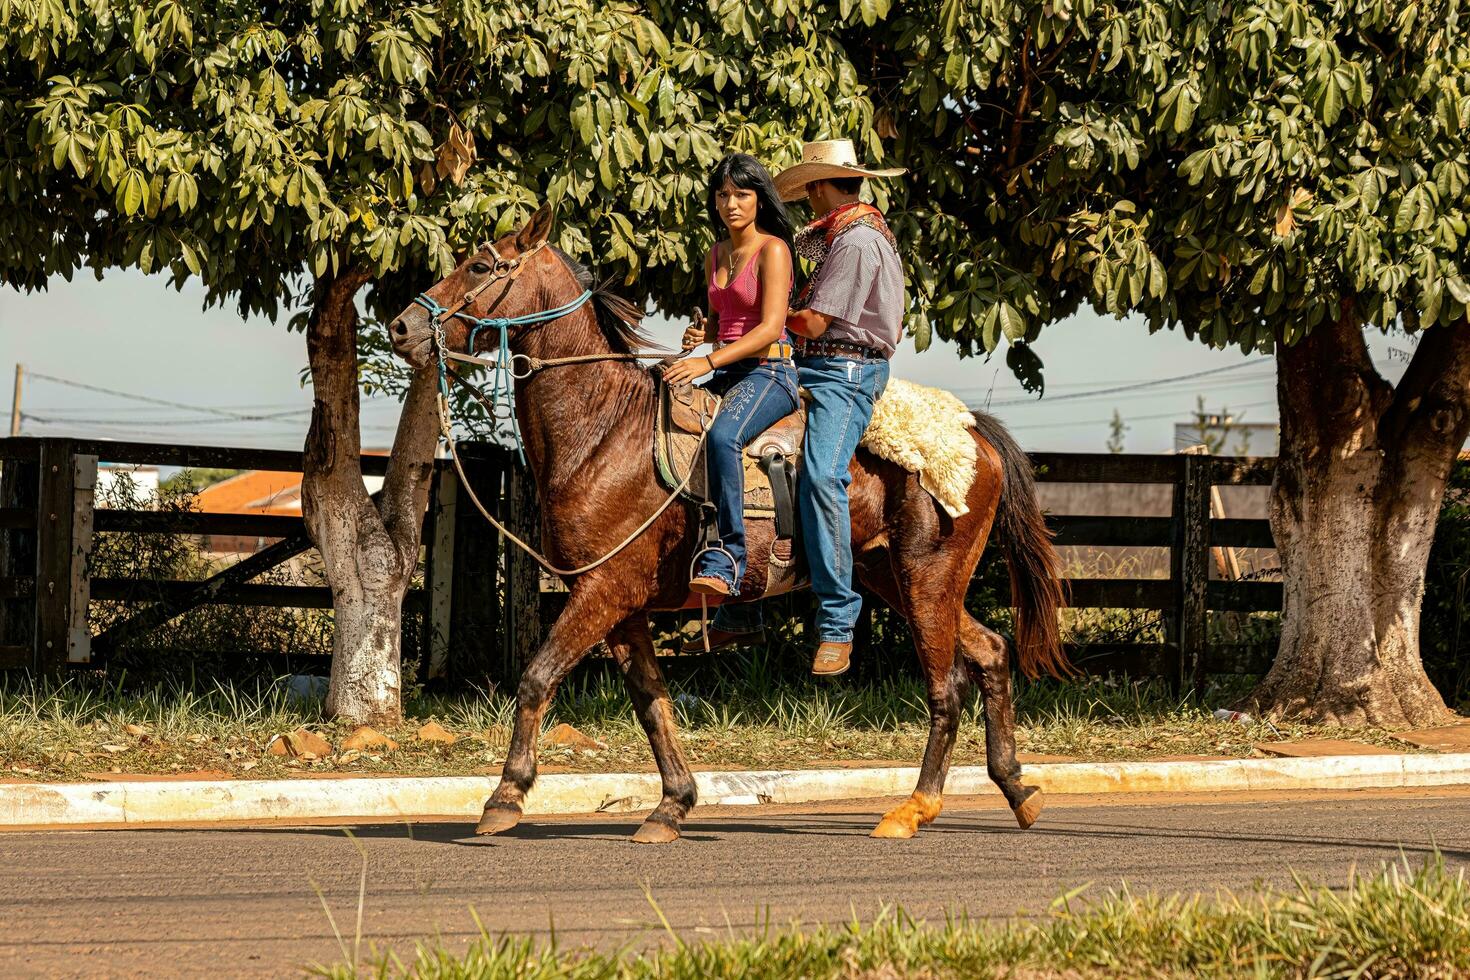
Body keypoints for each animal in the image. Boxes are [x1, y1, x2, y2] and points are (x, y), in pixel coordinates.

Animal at [385, 205, 1064, 846]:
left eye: (479, 265)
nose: (402, 326)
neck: (604, 430)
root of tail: (974, 431)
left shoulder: (602, 590)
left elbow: (535, 679)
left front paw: (505, 797)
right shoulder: (621, 606)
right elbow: (652, 702)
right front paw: (672, 805)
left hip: (928, 577)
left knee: (945, 687)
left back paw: (913, 809)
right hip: (893, 576)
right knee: (991, 652)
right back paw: (1016, 789)